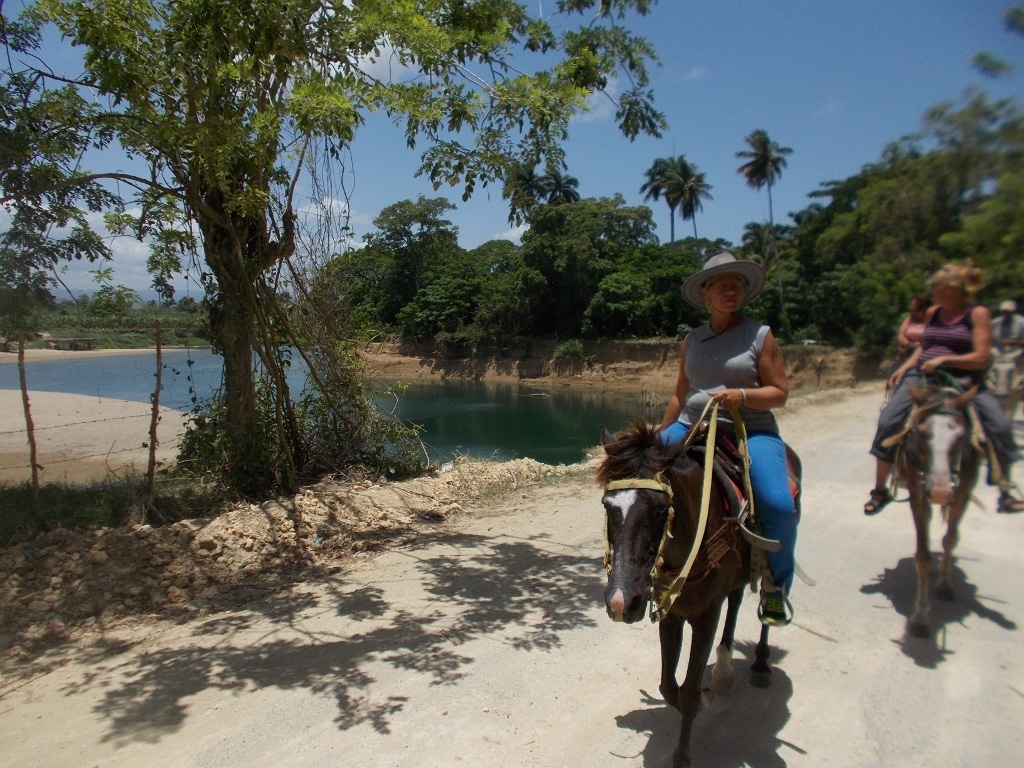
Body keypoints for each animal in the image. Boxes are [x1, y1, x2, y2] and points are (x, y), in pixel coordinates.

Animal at [597, 419, 800, 768]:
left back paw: (761, 662)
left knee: (769, 598)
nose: (623, 602)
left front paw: (682, 754)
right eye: (608, 505)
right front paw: (703, 694)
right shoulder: (672, 613)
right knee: (735, 600)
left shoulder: (705, 615)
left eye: (661, 509)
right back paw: (724, 670)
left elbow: (689, 691)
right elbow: (669, 687)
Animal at [891, 379, 981, 638]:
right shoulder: (917, 495)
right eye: (921, 433)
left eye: (960, 436)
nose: (940, 492)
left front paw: (945, 586)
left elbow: (950, 538)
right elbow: (922, 555)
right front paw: (921, 617)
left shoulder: (961, 492)